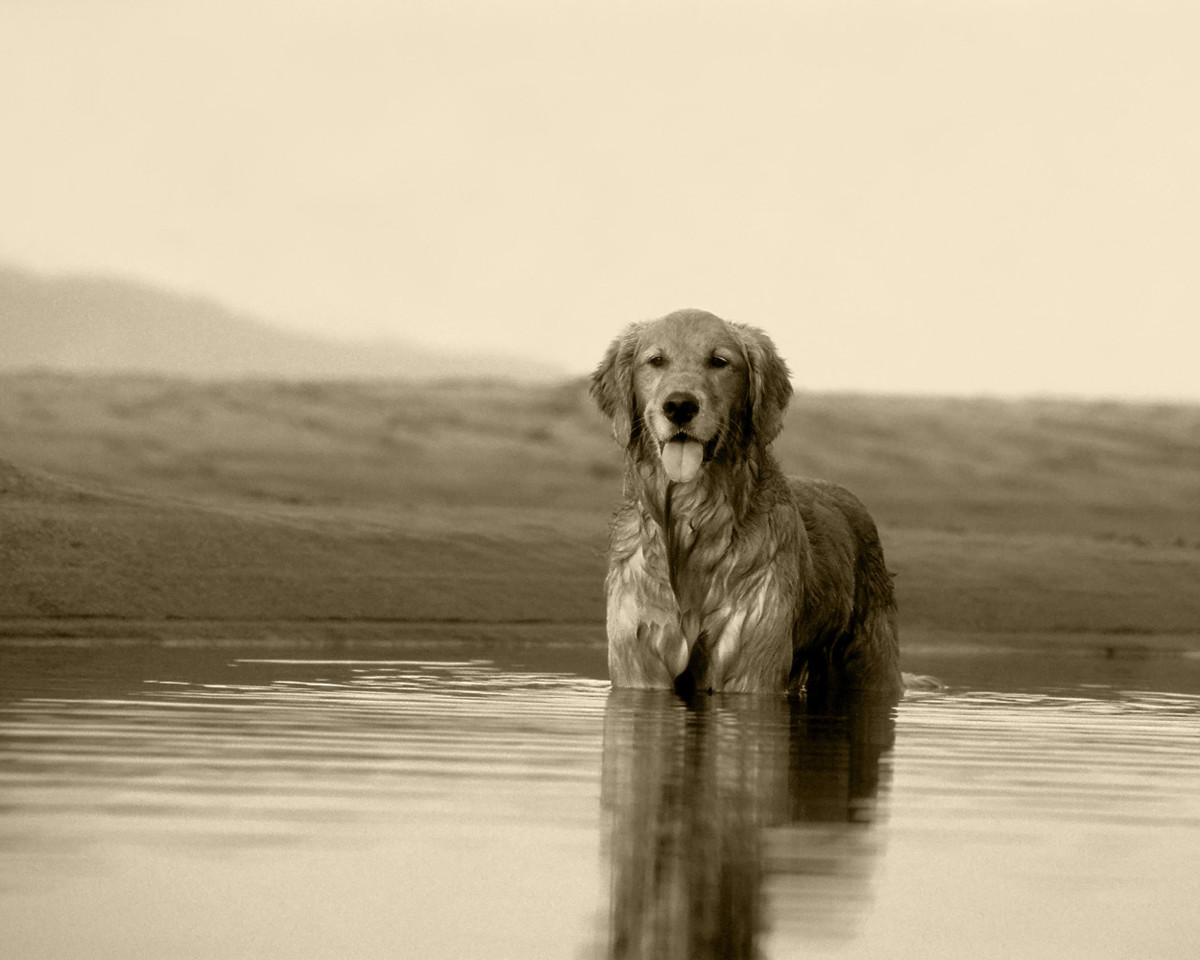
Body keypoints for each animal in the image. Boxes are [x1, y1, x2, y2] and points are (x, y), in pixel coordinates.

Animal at [590, 312, 902, 696]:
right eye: (656, 360)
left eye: (719, 362)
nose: (679, 405)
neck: (692, 517)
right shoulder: (640, 657)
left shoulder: (748, 660)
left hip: (871, 663)